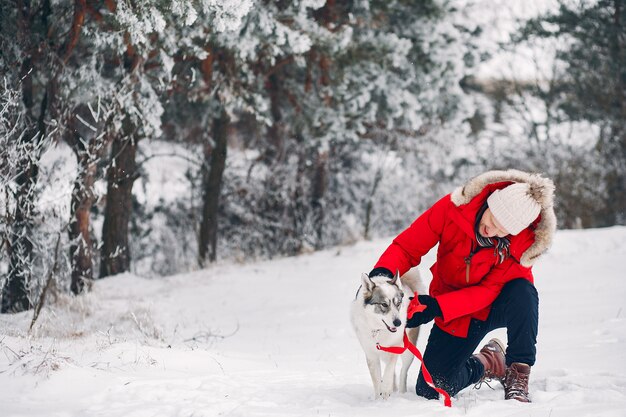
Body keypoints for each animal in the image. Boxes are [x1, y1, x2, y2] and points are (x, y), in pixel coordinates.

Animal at [348, 268, 422, 398]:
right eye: (384, 304)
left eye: (398, 303)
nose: (398, 323)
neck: (379, 330)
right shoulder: (371, 354)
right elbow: (377, 380)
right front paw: (379, 398)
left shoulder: (395, 348)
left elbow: (388, 372)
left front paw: (386, 390)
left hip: (408, 350)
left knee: (403, 372)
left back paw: (401, 392)